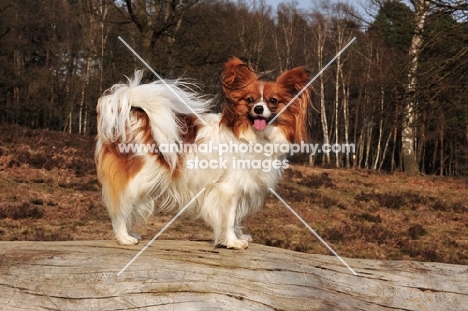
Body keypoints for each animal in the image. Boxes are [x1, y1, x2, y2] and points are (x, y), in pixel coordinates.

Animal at [95, 57, 310, 250]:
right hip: (137, 180)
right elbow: (229, 217)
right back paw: (124, 237)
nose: (258, 109)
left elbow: (237, 217)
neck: (254, 134)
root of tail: (134, 116)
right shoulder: (228, 189)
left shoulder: (242, 188)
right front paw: (232, 241)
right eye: (250, 100)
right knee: (120, 208)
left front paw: (239, 236)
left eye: (273, 101)